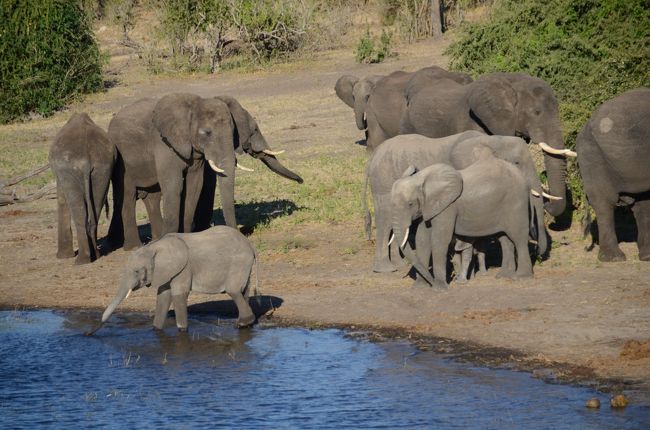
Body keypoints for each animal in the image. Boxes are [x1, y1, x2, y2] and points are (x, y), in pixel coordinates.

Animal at [86, 227, 258, 334]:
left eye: (136, 271)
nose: (87, 334)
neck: (153, 247)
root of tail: (251, 246)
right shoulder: (166, 271)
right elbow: (163, 296)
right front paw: (156, 330)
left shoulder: (184, 268)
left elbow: (179, 295)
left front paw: (182, 331)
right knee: (244, 291)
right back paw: (245, 324)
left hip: (239, 263)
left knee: (234, 291)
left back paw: (243, 323)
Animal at [109, 92, 304, 250]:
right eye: (207, 133)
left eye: (233, 132)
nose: (301, 181)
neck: (196, 103)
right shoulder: (164, 144)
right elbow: (174, 186)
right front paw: (170, 240)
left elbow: (195, 186)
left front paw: (186, 236)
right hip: (122, 162)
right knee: (127, 195)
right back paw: (134, 247)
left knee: (152, 196)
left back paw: (154, 239)